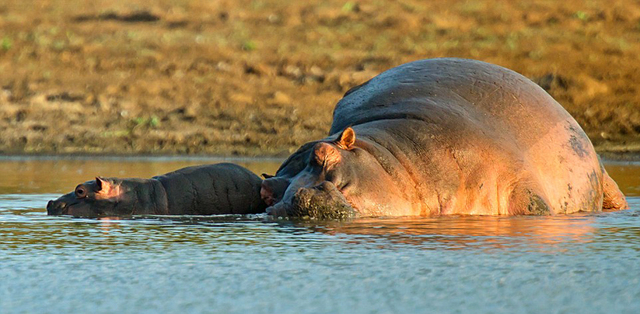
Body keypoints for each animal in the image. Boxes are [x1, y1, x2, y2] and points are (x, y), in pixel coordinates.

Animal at [262, 57, 628, 217]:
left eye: (324, 154)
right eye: (265, 191)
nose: (294, 200)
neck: (395, 158)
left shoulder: (517, 182)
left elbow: (535, 206)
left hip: (599, 177)